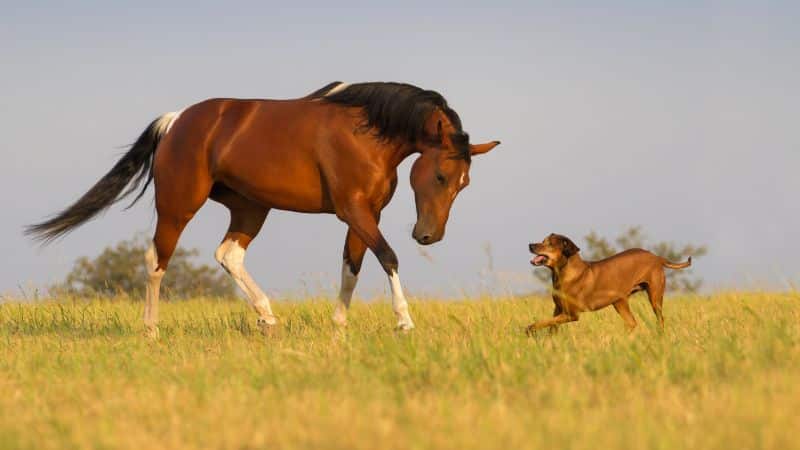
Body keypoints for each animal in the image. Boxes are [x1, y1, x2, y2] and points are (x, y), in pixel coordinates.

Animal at [28, 81, 500, 336]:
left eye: (464, 183)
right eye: (441, 176)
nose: (429, 235)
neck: (366, 133)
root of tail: (177, 120)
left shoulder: (367, 215)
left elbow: (352, 267)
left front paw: (338, 328)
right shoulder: (354, 211)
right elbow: (388, 257)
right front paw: (403, 322)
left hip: (251, 208)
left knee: (229, 255)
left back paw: (267, 318)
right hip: (178, 206)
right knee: (156, 260)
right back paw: (151, 330)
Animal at [528, 232, 692, 334]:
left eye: (549, 244)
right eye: (542, 241)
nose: (530, 245)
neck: (563, 274)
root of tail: (657, 257)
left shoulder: (572, 314)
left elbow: (541, 323)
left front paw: (530, 329)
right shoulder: (558, 310)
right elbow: (550, 324)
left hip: (655, 296)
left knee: (660, 318)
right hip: (619, 301)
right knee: (632, 323)